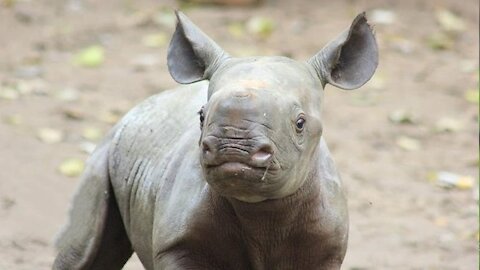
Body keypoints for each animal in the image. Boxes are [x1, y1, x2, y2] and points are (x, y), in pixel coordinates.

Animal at [51, 10, 376, 270]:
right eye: (201, 116)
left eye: (300, 123)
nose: (233, 148)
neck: (263, 211)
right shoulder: (177, 246)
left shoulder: (325, 249)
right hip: (106, 152)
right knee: (82, 253)